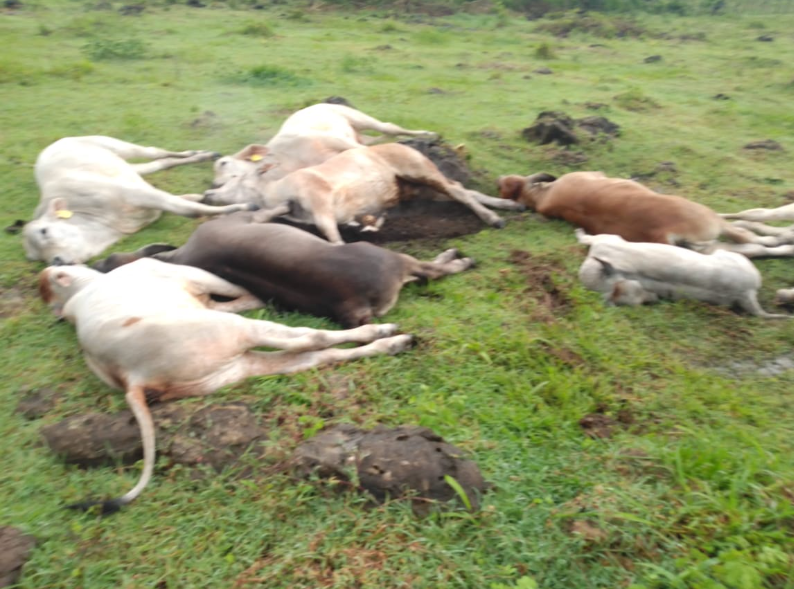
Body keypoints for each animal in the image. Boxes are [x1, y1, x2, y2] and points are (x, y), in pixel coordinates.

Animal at [22, 136, 255, 265]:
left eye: (44, 231)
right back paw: (199, 155)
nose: (56, 262)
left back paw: (201, 154)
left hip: (118, 146)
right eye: (35, 258)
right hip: (129, 167)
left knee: (154, 152)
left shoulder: (140, 194)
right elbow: (195, 200)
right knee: (160, 163)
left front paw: (241, 206)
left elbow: (188, 208)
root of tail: (53, 145)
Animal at [38, 258, 413, 513]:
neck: (77, 296)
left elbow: (248, 297)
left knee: (316, 356)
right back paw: (385, 333)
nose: (58, 260)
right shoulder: (194, 276)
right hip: (236, 330)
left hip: (237, 364)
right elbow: (249, 294)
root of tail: (131, 378)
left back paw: (391, 344)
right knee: (312, 339)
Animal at [204, 143, 523, 244]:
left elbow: (330, 232)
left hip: (419, 170)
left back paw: (494, 218)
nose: (208, 193)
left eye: (234, 177)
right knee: (461, 189)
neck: (275, 190)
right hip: (419, 189)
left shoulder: (319, 198)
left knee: (460, 191)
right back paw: (509, 206)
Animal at [211, 103, 440, 193]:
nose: (214, 184)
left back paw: (429, 134)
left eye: (223, 162)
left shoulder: (333, 140)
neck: (286, 159)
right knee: (376, 139)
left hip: (357, 117)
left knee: (389, 127)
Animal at [575, 230, 787, 318]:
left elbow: (586, 238)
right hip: (728, 256)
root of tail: (747, 294)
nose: (652, 299)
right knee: (756, 248)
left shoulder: (608, 239)